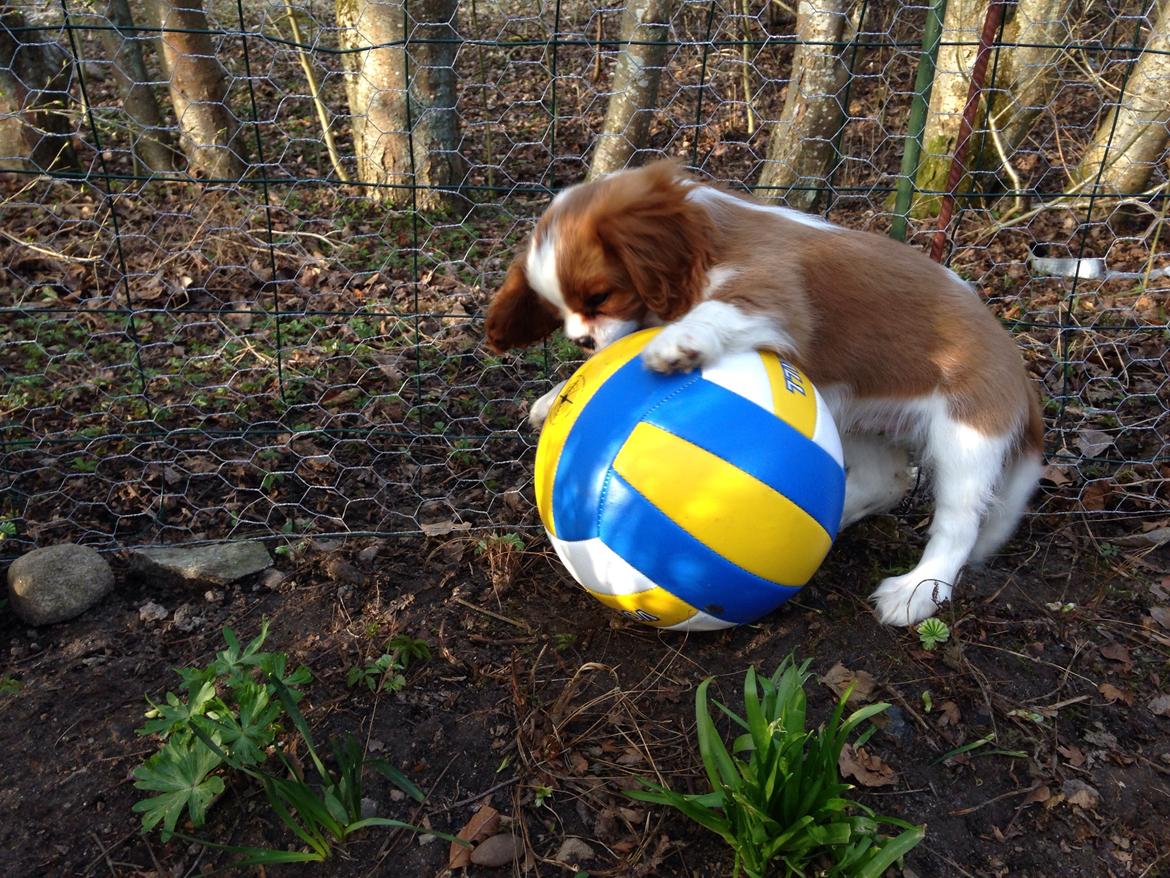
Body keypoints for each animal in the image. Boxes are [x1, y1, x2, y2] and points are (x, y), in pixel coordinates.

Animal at [482, 158, 1043, 627]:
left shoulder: (773, 296)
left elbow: (717, 313)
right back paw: (826, 523)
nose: (580, 340)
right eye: (557, 312)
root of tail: (1018, 368)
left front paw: (676, 343)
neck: (708, 236)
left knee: (959, 520)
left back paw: (918, 591)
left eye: (599, 297)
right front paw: (557, 393)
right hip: (858, 414)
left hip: (967, 431)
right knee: (887, 481)